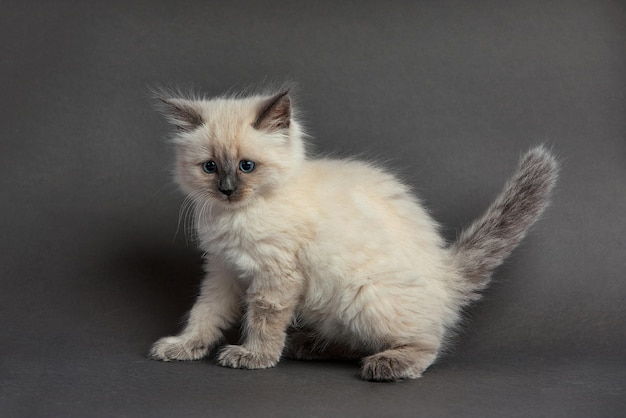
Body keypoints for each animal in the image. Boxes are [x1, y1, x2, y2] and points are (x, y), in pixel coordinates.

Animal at [149, 88, 560, 382]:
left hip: (363, 296)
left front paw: (254, 356)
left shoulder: (275, 275)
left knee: (428, 341)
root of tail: (445, 273)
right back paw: (306, 346)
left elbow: (264, 319)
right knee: (353, 344)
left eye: (246, 166)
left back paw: (386, 365)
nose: (227, 190)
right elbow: (205, 313)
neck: (237, 216)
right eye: (210, 167)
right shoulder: (223, 270)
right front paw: (184, 346)